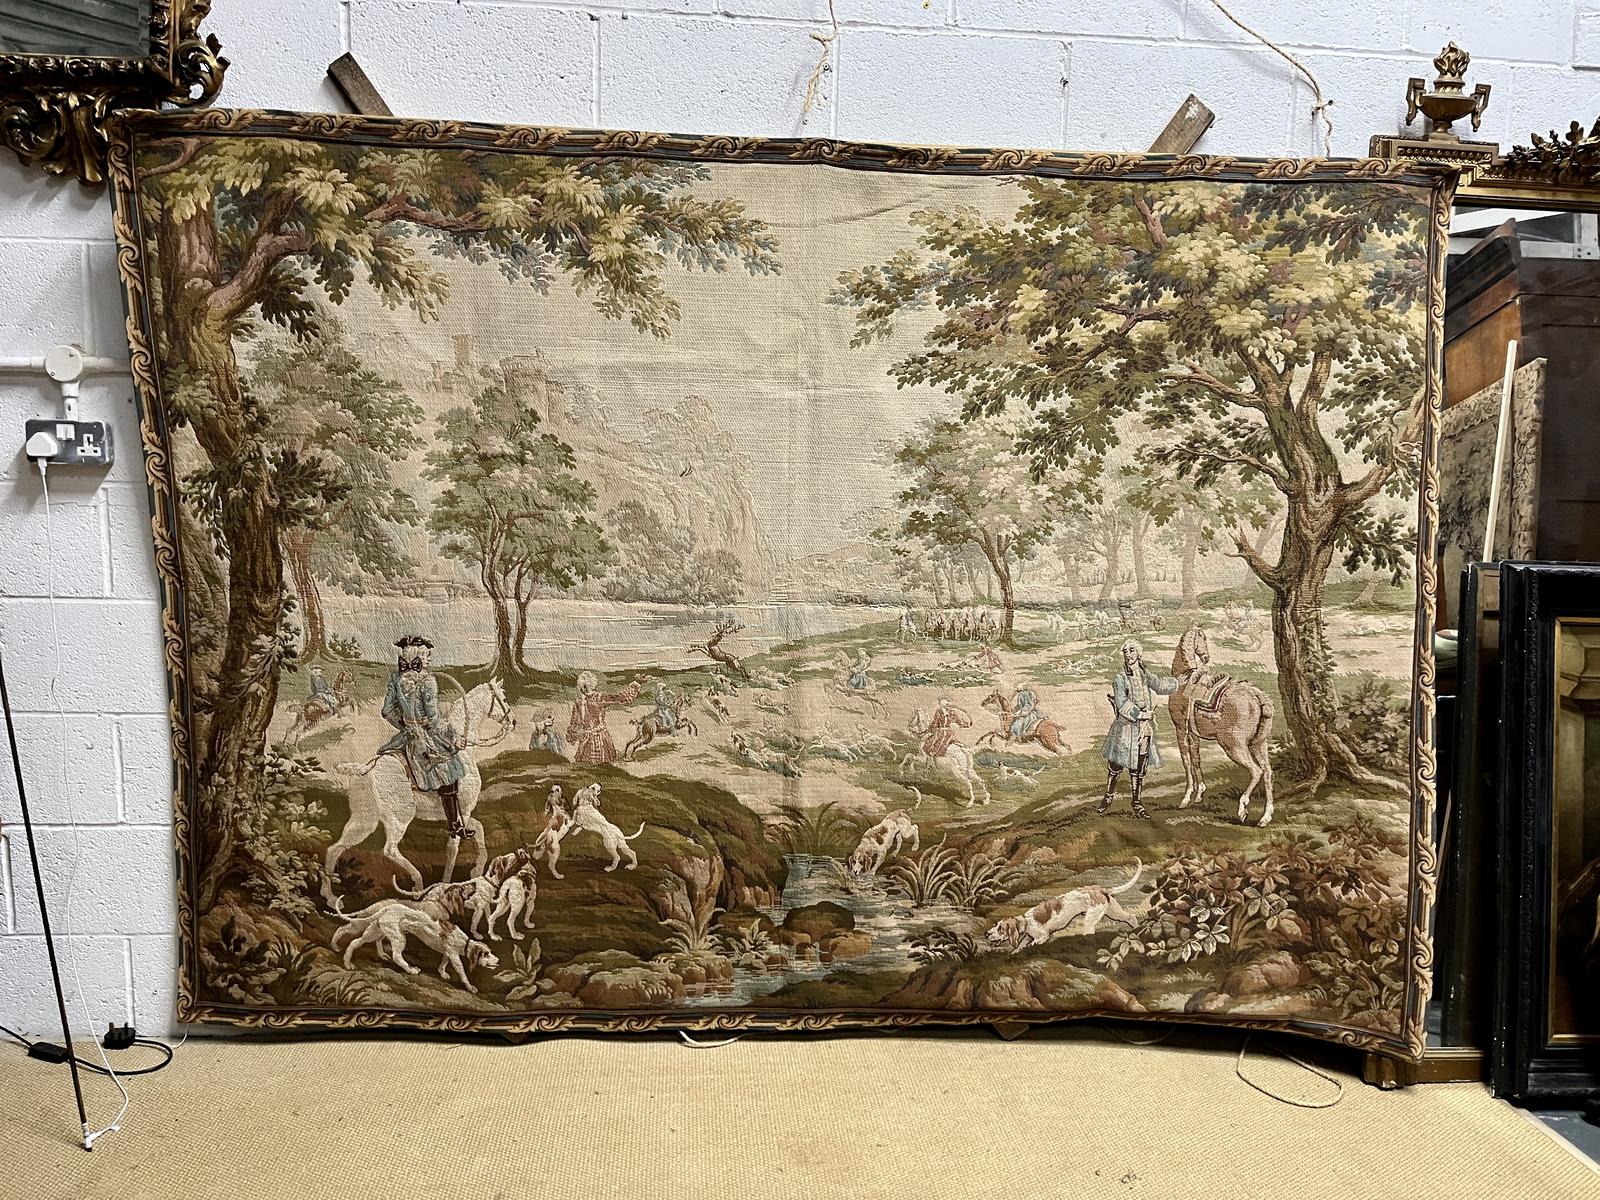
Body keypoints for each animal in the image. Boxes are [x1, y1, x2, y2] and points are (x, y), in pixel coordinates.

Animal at [321, 679, 515, 909]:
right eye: (504, 698)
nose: (513, 722)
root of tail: (367, 768)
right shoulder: (463, 813)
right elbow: (455, 847)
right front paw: (446, 884)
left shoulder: (459, 815)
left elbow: (479, 831)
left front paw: (476, 870)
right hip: (400, 818)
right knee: (390, 850)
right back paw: (418, 885)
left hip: (364, 820)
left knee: (334, 848)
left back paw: (330, 898)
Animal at [332, 900, 499, 991]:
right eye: (486, 954)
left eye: (490, 952)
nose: (498, 961)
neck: (464, 942)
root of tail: (387, 908)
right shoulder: (454, 955)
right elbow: (463, 973)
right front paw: (470, 987)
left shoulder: (447, 953)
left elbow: (443, 963)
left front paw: (442, 973)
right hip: (397, 937)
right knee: (397, 956)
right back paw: (411, 970)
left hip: (375, 931)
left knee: (354, 942)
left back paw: (347, 962)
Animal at [986, 859, 1144, 951]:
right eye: (996, 925)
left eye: (1000, 928)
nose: (986, 933)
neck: (1025, 921)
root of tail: (1101, 889)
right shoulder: (1028, 937)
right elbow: (1020, 946)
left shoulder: (1043, 936)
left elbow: (1035, 942)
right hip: (1113, 911)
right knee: (1130, 917)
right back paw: (1136, 929)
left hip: (1092, 917)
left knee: (1090, 932)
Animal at [1169, 625, 1275, 826]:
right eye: (1203, 638)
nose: (1206, 657)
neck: (1184, 679)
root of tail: (1256, 695)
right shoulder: (1193, 734)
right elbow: (1196, 759)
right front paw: (1199, 794)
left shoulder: (1181, 730)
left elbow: (1186, 761)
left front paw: (1186, 798)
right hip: (1259, 743)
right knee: (1267, 771)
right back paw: (1265, 817)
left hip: (1233, 746)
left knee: (1256, 771)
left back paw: (1242, 809)